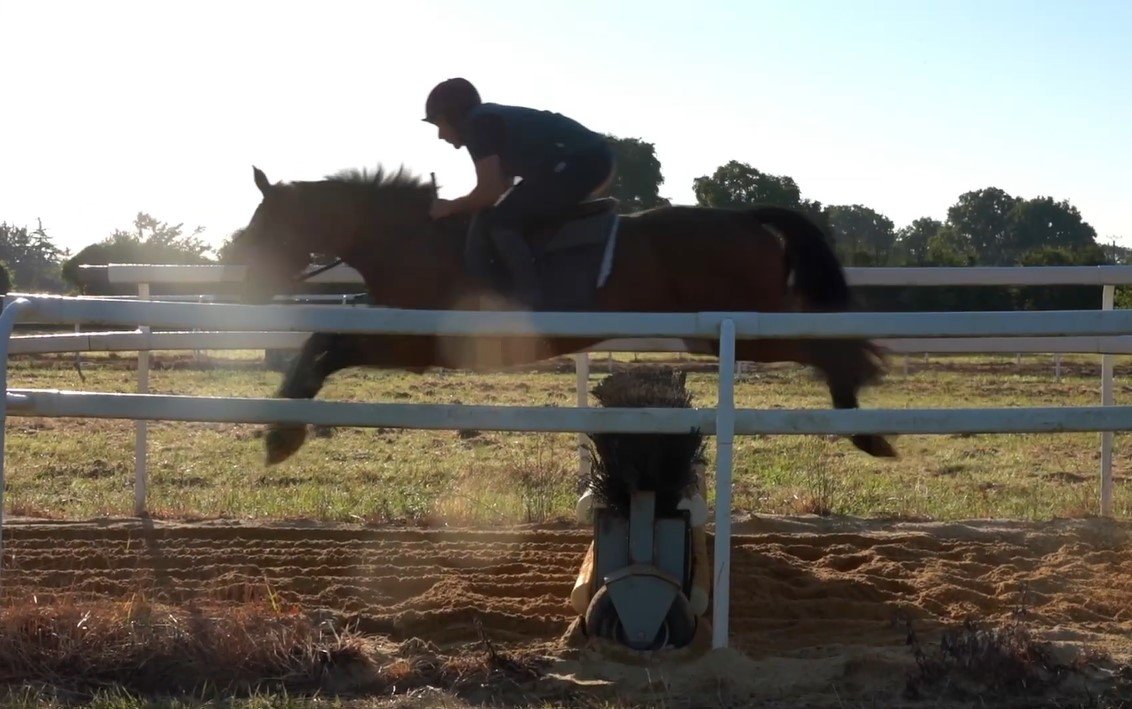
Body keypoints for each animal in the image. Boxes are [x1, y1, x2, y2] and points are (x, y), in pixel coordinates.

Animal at [225, 164, 896, 465]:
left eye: (267, 224)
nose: (246, 280)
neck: (413, 238)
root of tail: (743, 218)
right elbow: (320, 344)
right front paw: (282, 428)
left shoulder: (413, 344)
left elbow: (325, 343)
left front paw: (282, 435)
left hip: (739, 328)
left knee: (824, 343)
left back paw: (866, 424)